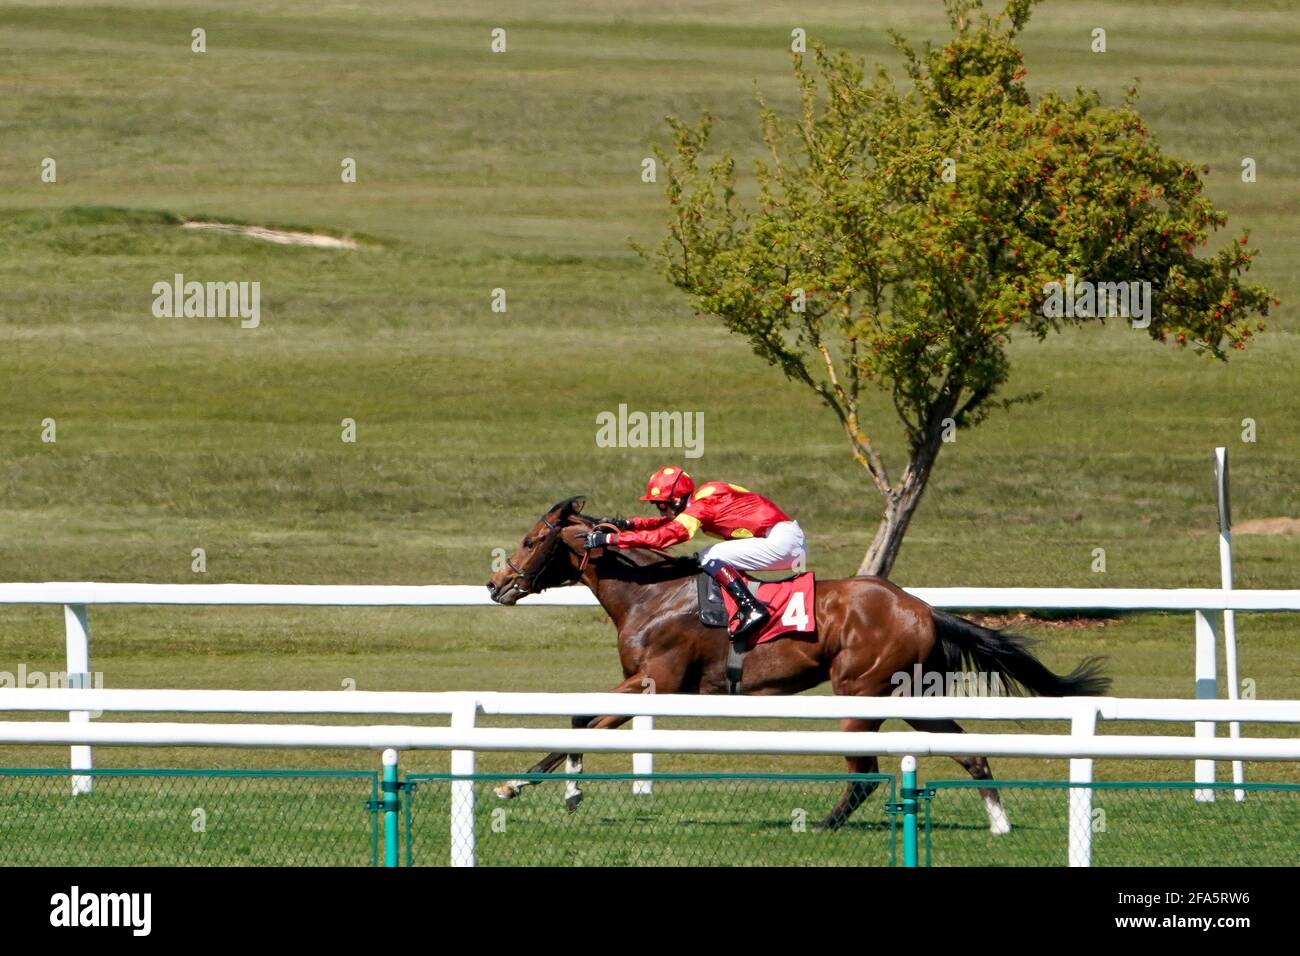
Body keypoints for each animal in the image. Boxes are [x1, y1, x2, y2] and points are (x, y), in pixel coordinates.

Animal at [488, 496, 1107, 832]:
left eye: (530, 540)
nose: (496, 584)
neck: (650, 595)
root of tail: (921, 606)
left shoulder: (656, 681)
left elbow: (585, 723)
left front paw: (514, 786)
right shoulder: (637, 681)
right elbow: (577, 720)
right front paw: (566, 791)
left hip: (859, 694)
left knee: (865, 774)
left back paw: (825, 827)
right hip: (910, 693)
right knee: (968, 751)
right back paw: (998, 820)